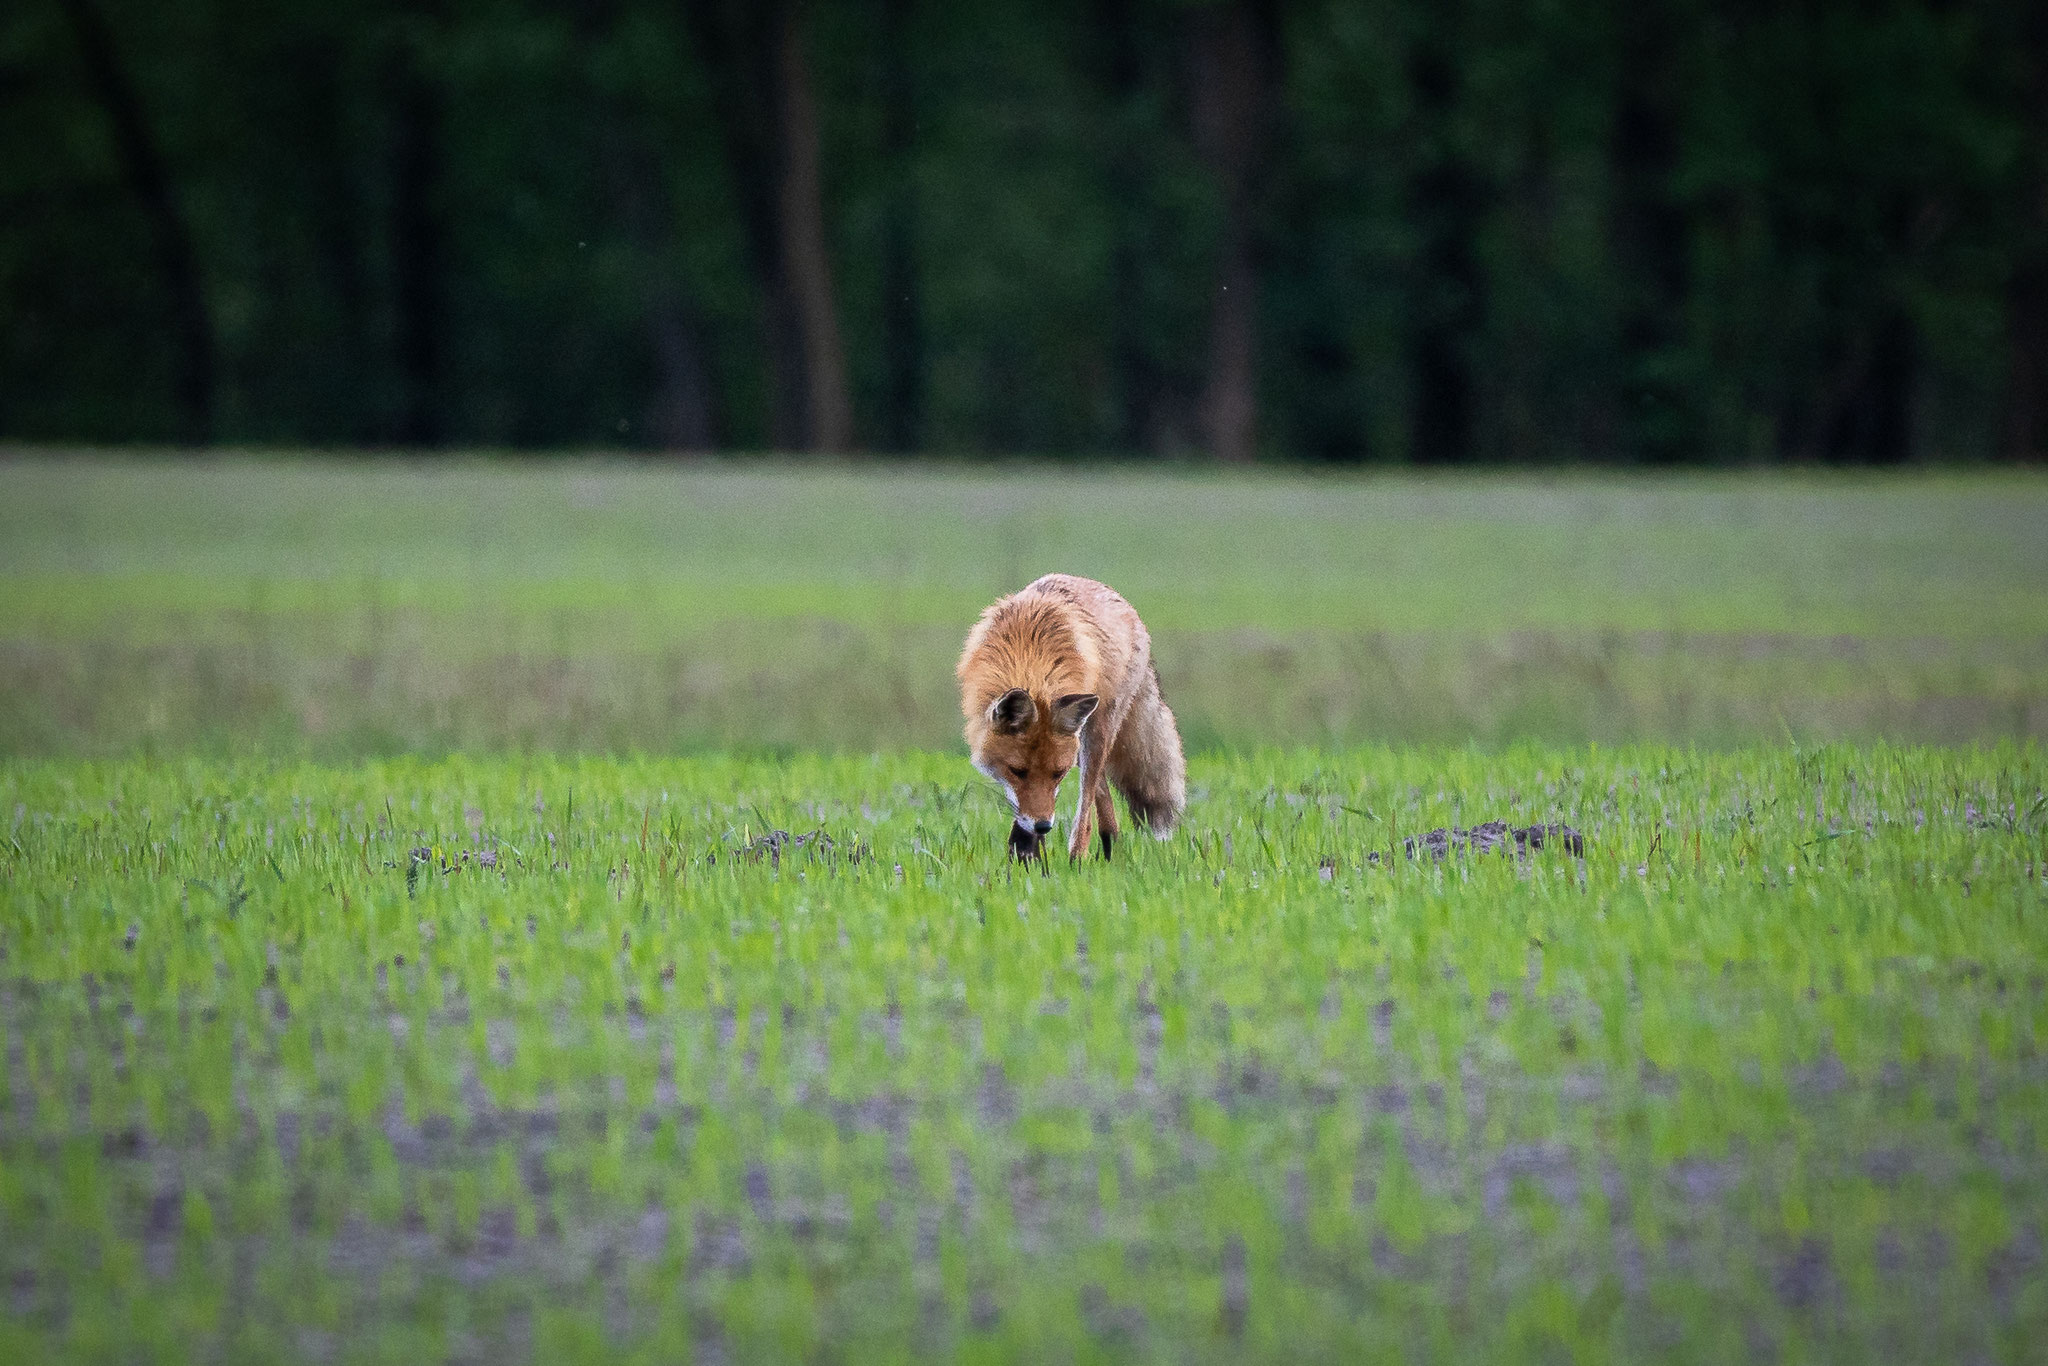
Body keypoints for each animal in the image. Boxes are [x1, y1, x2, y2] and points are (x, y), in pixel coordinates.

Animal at [954, 573, 1187, 860]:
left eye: (1058, 774)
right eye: (1017, 771)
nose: (1043, 826)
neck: (1029, 653)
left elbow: (1079, 809)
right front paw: (1023, 853)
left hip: (1097, 732)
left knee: (1088, 805)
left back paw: (1081, 856)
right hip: (1083, 739)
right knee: (1103, 799)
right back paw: (1109, 844)